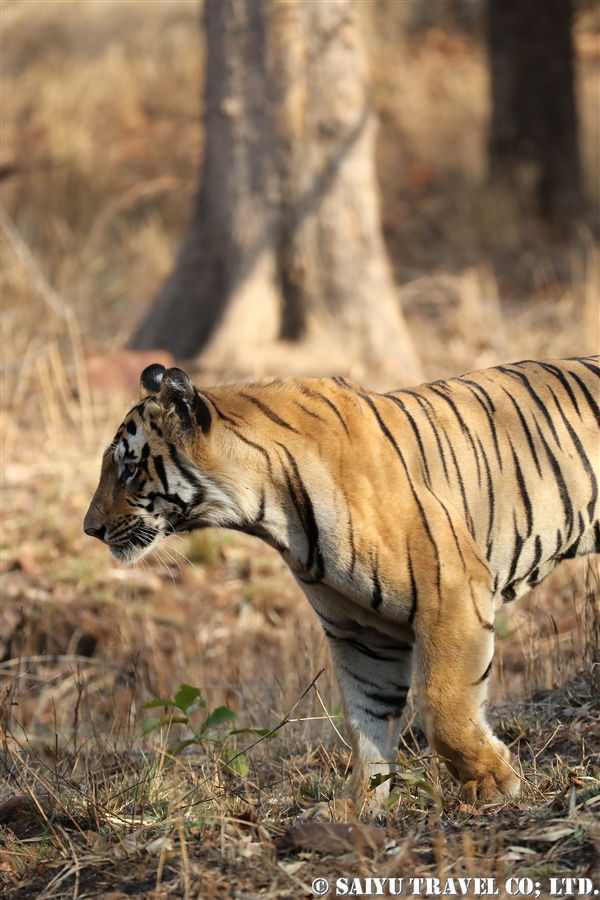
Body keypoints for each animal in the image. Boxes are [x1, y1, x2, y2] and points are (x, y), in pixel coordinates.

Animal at [84, 356, 600, 808]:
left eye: (129, 468)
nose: (91, 529)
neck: (270, 510)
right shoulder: (361, 632)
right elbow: (367, 722)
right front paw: (358, 811)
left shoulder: (453, 594)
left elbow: (443, 707)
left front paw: (494, 782)